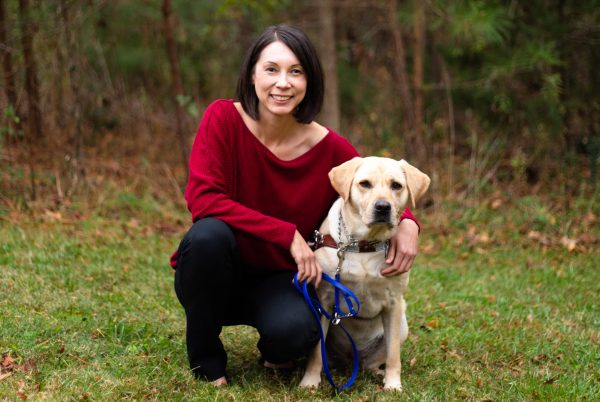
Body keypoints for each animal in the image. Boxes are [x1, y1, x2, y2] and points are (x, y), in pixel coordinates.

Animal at [300, 156, 432, 390]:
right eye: (365, 184)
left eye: (396, 185)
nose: (383, 207)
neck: (363, 244)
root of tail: (351, 361)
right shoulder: (324, 302)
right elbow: (316, 352)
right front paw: (309, 383)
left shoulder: (394, 304)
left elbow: (393, 355)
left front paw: (393, 385)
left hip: (402, 325)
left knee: (377, 359)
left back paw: (378, 373)